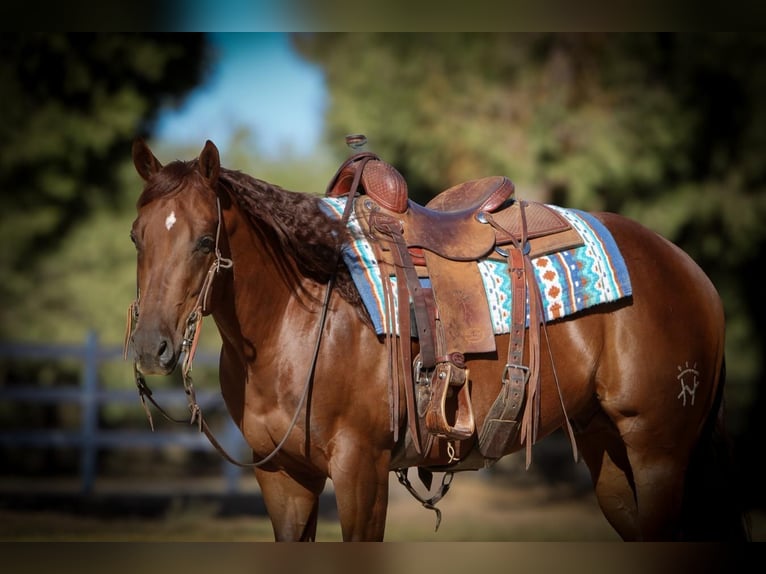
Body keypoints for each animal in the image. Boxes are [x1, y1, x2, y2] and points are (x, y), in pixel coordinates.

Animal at [127, 137, 752, 544]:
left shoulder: (361, 469)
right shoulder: (282, 476)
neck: (297, 318)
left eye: (204, 239)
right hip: (610, 454)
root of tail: (691, 271)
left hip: (659, 452)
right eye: (137, 237)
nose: (151, 348)